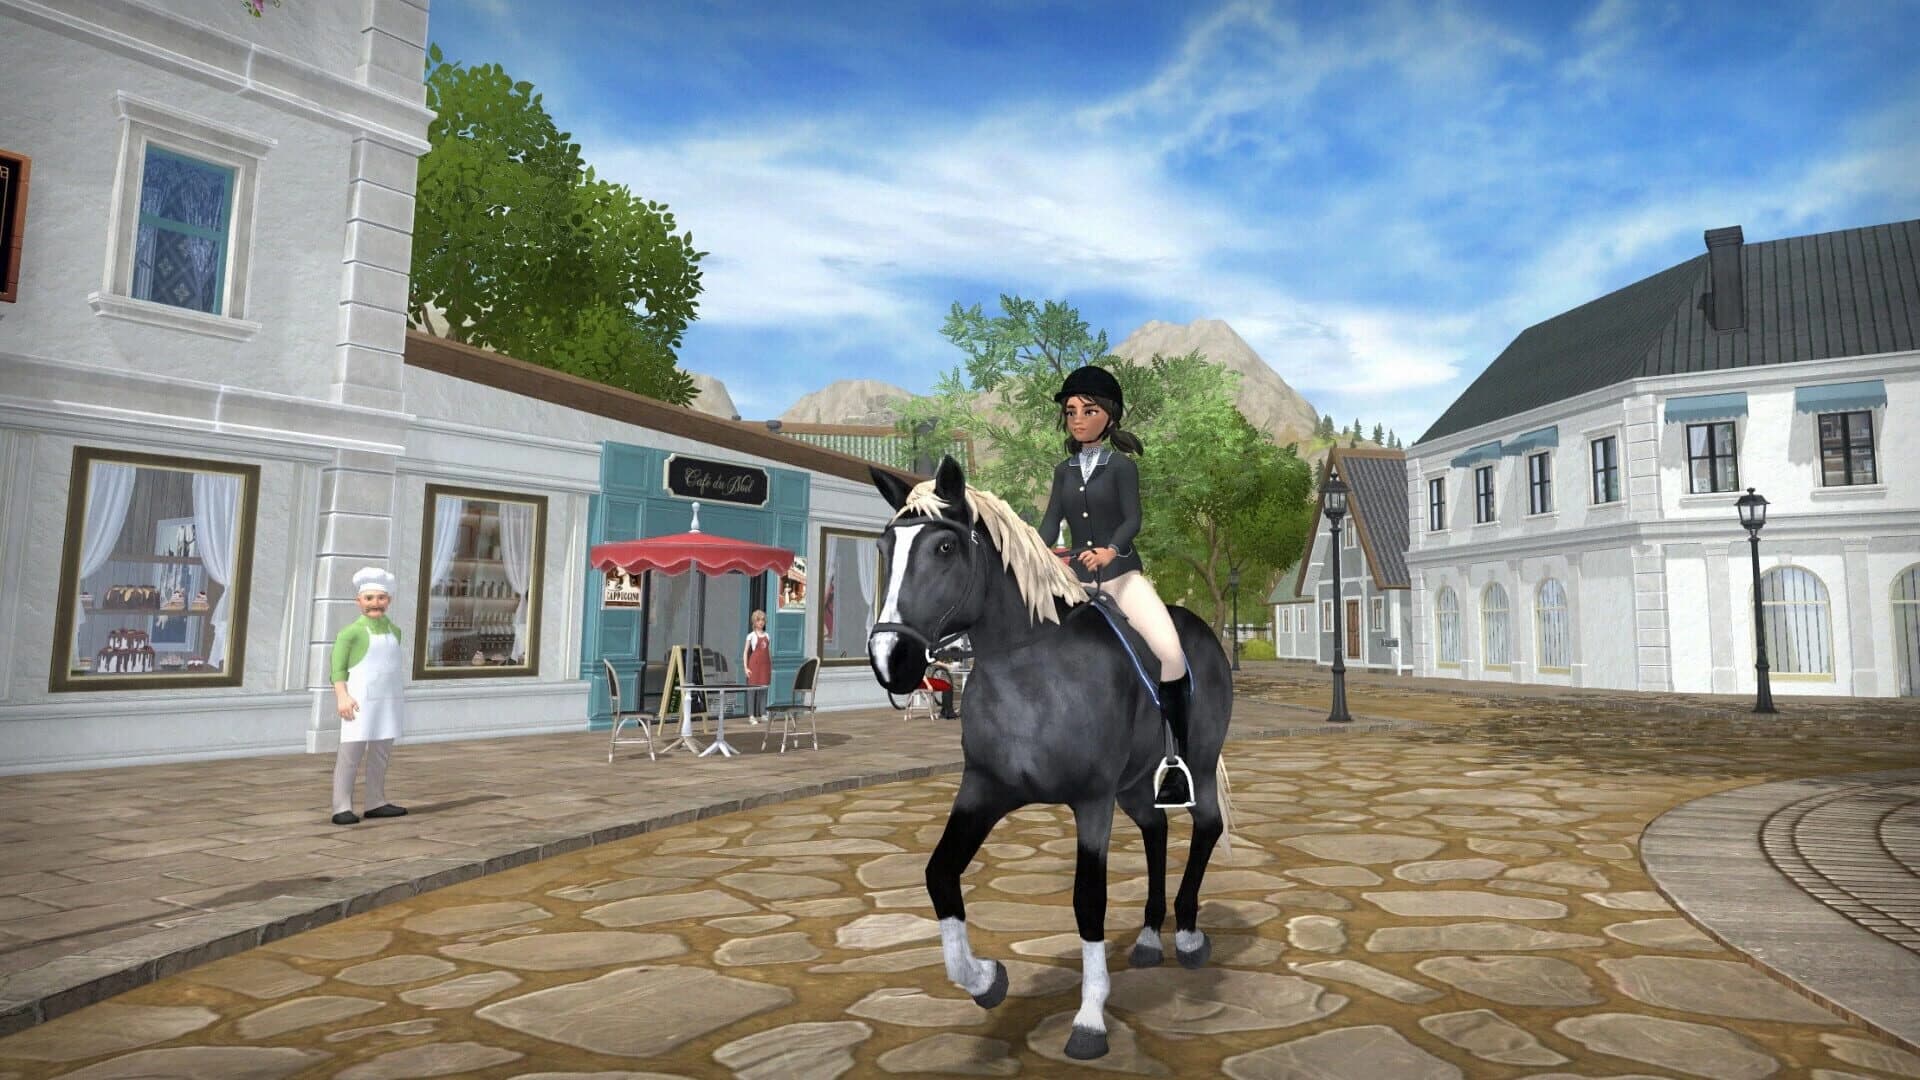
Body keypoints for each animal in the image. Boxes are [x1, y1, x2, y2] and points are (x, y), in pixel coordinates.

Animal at [866, 456, 1235, 1061]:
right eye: (883, 547)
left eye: (944, 547)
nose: (890, 660)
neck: (1029, 667)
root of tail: (1201, 629)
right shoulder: (984, 789)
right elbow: (939, 873)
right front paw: (986, 980)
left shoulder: (1092, 801)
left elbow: (1088, 899)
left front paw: (1089, 1020)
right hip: (1134, 786)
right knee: (1155, 830)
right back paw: (1149, 937)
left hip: (1197, 766)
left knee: (1205, 826)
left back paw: (1185, 936)